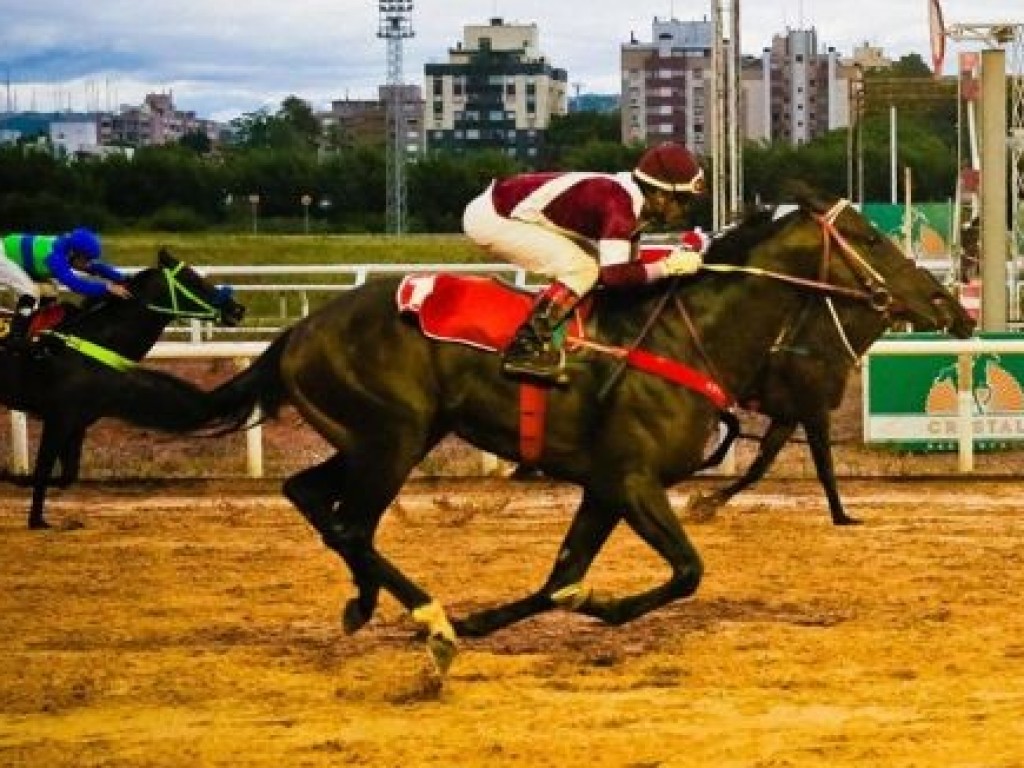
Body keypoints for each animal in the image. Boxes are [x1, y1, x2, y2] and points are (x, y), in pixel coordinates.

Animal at [1, 250, 244, 528]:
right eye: (192, 280)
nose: (237, 309)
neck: (92, 341)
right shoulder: (58, 418)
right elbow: (42, 469)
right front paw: (34, 517)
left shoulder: (78, 421)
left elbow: (67, 476)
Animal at [688, 215, 974, 528]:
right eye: (937, 296)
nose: (969, 322)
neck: (818, 343)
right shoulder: (815, 412)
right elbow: (825, 464)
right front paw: (841, 515)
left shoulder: (789, 416)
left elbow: (759, 466)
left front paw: (706, 503)